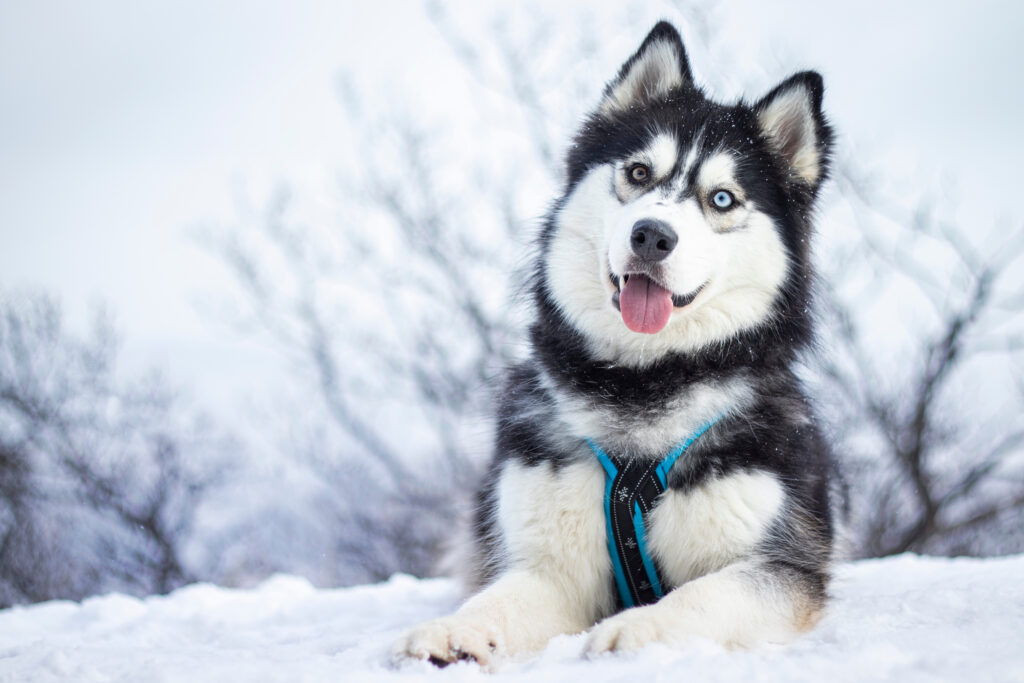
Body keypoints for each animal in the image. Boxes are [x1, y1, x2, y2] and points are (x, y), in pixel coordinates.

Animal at [391, 21, 839, 667]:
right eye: (638, 174)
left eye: (722, 198)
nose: (652, 235)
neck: (643, 383)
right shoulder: (550, 568)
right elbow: (497, 599)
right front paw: (453, 629)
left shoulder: (777, 566)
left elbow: (705, 594)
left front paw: (642, 628)